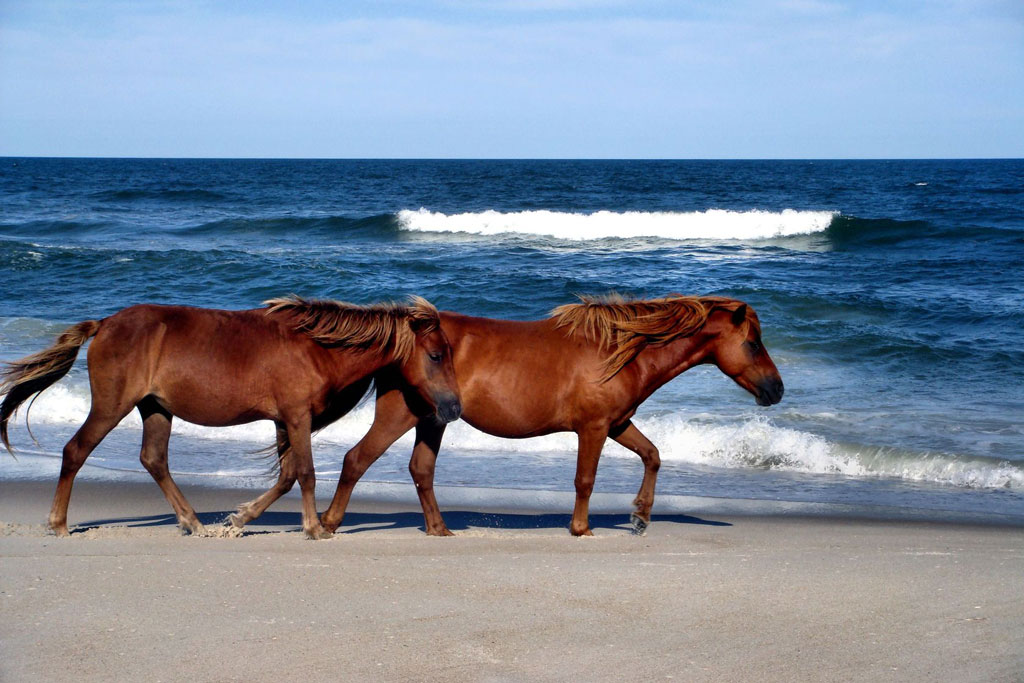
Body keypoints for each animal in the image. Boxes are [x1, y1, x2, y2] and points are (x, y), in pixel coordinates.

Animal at [0, 296, 462, 540]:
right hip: (112, 406)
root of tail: (105, 323)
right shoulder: (296, 417)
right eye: (436, 355)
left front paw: (240, 518)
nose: (454, 408)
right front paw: (315, 528)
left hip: (156, 408)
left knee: (154, 460)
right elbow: (306, 473)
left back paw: (193, 522)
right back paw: (58, 524)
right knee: (75, 451)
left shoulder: (284, 422)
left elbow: (287, 476)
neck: (316, 348)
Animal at [319, 296, 782, 536]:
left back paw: (438, 529)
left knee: (421, 470)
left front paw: (640, 517)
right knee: (357, 460)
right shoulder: (594, 428)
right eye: (753, 343)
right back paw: (328, 522)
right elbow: (585, 479)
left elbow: (652, 456)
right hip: (401, 415)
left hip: (433, 419)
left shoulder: (617, 424)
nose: (776, 390)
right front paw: (582, 528)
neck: (621, 352)